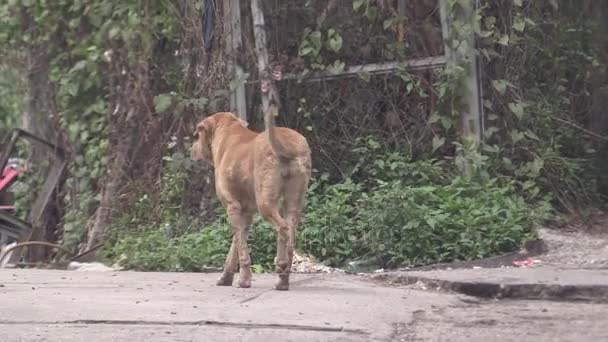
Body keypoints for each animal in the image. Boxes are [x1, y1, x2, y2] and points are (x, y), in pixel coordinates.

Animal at [192, 111, 312, 290]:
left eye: (198, 135)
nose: (191, 149)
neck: (229, 130)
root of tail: (287, 143)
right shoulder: (245, 214)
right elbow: (235, 247)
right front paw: (226, 278)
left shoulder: (232, 207)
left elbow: (242, 251)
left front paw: (244, 281)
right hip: (294, 203)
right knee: (291, 235)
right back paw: (283, 279)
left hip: (265, 203)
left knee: (282, 229)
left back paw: (282, 265)